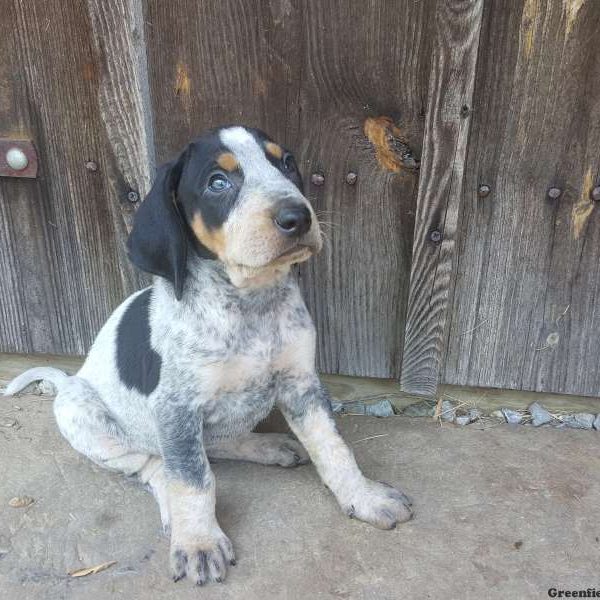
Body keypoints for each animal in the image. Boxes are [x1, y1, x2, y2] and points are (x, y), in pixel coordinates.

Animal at [7, 125, 412, 584]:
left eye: (287, 164)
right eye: (218, 183)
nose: (298, 217)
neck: (250, 304)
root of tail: (69, 380)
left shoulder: (302, 385)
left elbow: (334, 448)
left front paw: (363, 496)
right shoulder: (177, 408)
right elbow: (193, 480)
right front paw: (198, 541)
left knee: (217, 444)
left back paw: (266, 446)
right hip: (85, 415)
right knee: (157, 464)